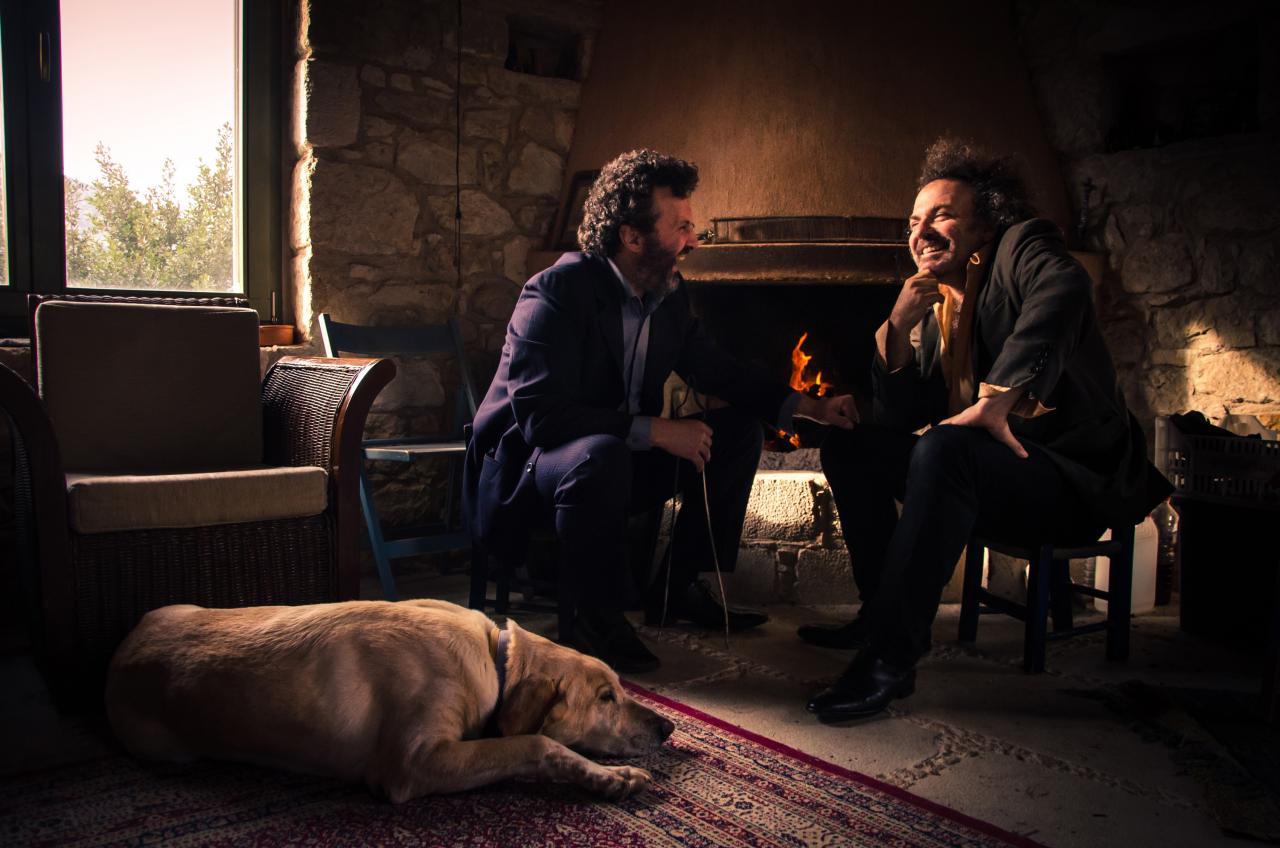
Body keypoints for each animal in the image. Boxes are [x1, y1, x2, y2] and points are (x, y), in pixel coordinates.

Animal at [105, 599, 674, 802]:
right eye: (606, 697)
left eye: (620, 686)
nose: (668, 728)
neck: (495, 659)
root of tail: (120, 651)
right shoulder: (414, 763)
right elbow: (534, 744)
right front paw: (609, 778)